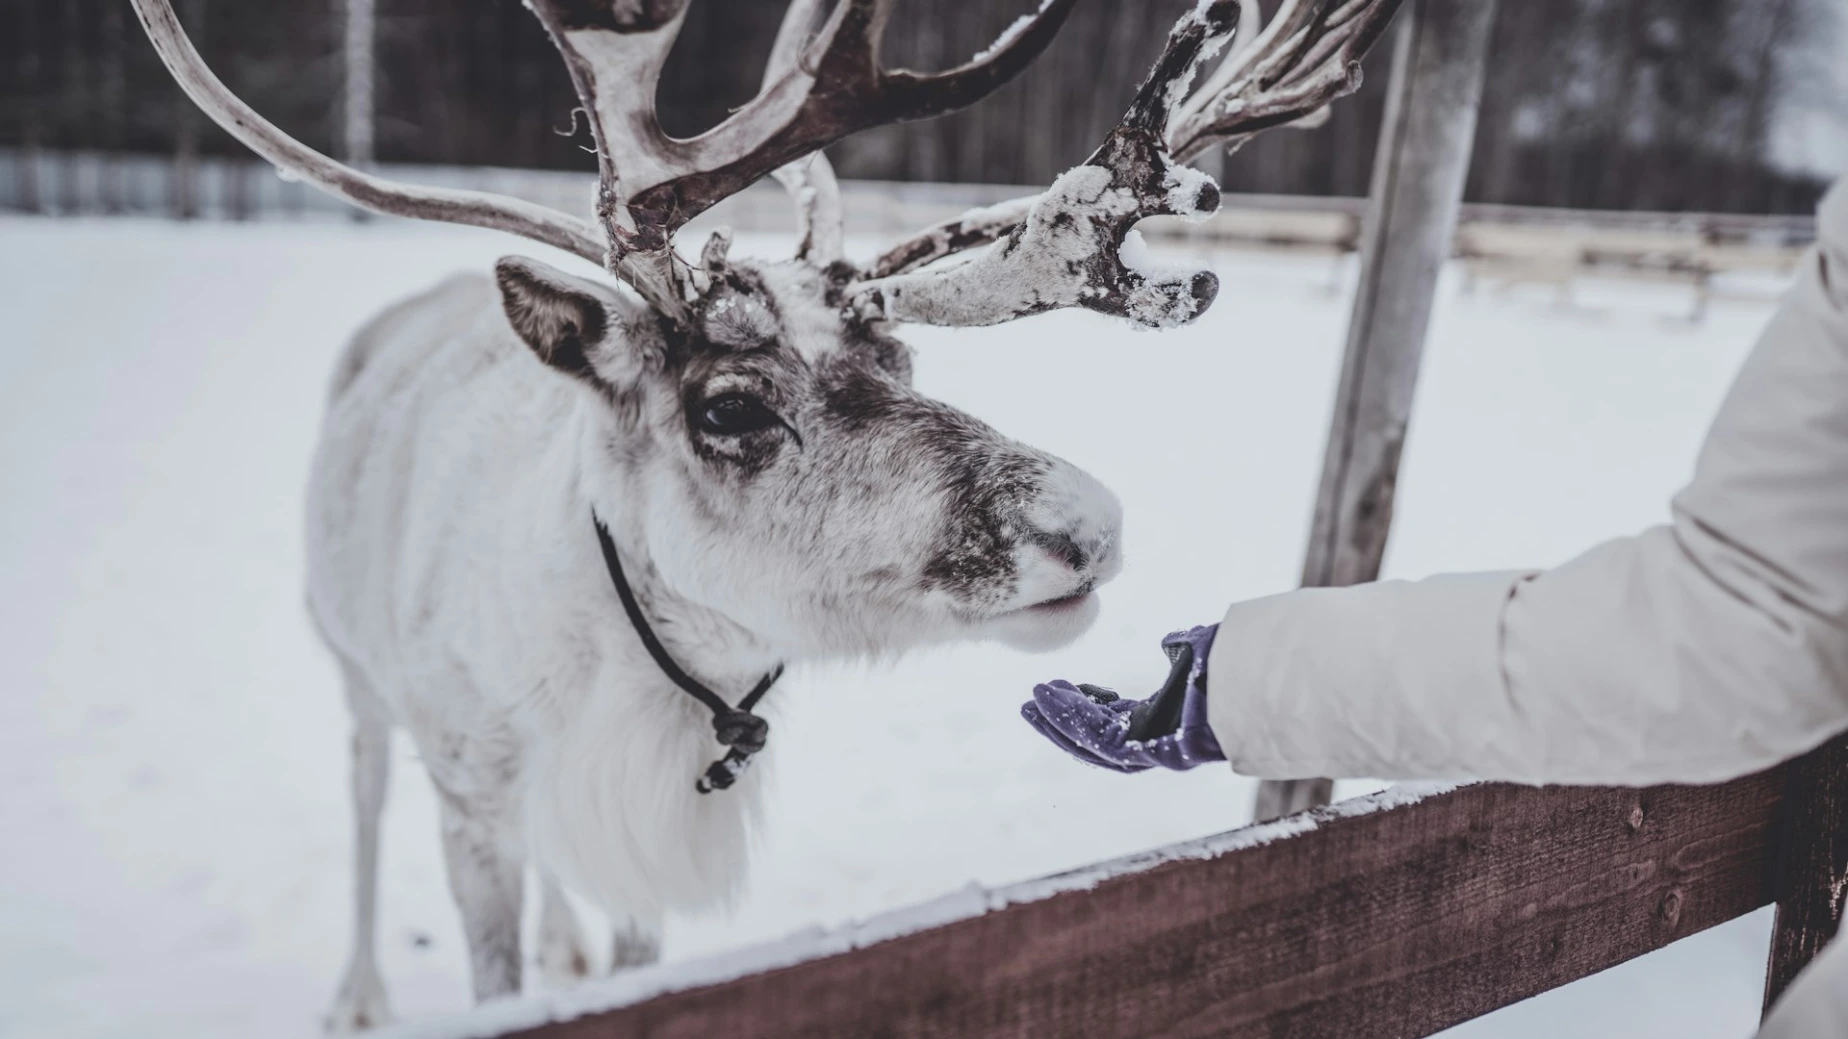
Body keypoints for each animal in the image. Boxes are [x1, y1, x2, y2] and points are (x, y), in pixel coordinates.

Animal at [128, 0, 1403, 1030]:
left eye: (902, 355)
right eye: (730, 405)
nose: (1090, 524)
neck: (636, 678)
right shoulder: (470, 788)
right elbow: (492, 966)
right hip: (353, 672)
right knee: (359, 801)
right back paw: (358, 994)